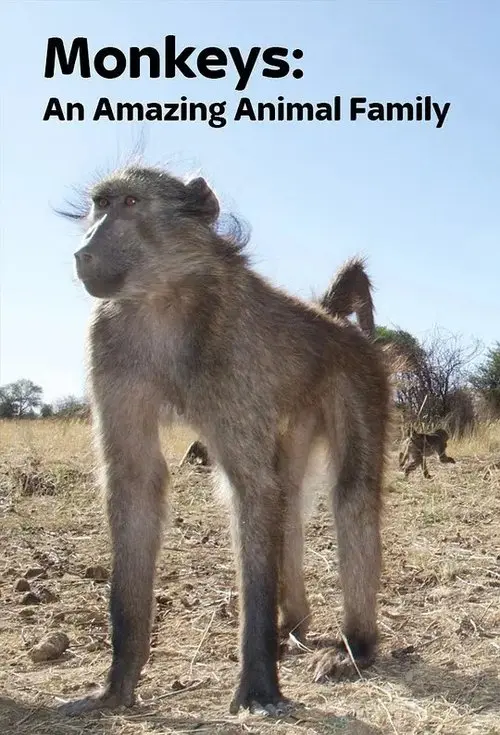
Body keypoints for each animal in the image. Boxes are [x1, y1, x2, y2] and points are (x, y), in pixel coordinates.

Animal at [59, 164, 391, 718]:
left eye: (130, 203)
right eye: (98, 205)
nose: (83, 252)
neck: (165, 298)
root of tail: (335, 325)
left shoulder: (234, 347)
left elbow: (252, 489)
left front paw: (258, 687)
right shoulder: (108, 339)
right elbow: (136, 482)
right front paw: (117, 684)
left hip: (359, 382)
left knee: (350, 494)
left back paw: (355, 649)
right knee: (290, 496)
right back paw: (293, 625)